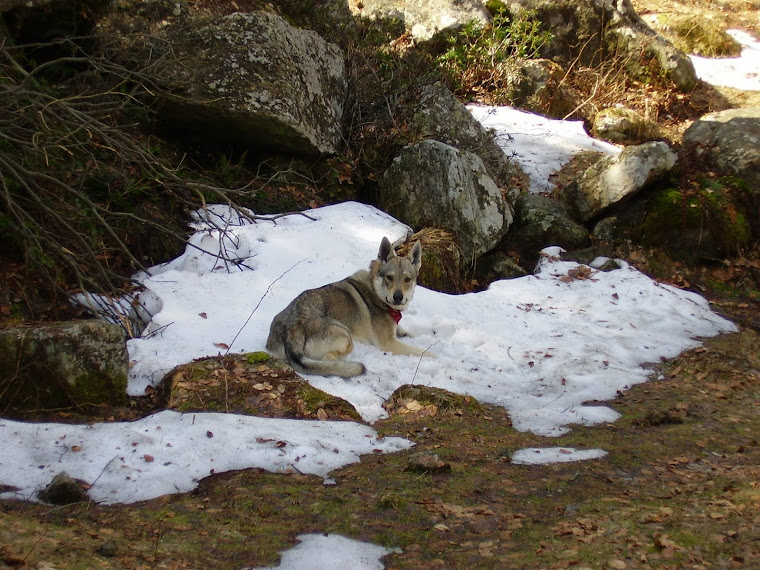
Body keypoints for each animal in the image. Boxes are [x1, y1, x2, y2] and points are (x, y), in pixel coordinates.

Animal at [266, 236, 428, 378]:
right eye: (389, 277)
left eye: (407, 279)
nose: (398, 297)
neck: (376, 293)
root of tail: (291, 330)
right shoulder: (388, 343)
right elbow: (425, 352)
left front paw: (406, 331)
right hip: (347, 337)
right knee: (328, 361)